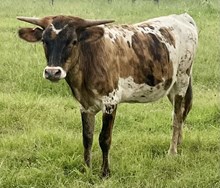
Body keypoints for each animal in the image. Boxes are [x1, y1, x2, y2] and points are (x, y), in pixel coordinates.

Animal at [17, 13, 199, 177]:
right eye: (44, 41)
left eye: (73, 41)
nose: (52, 72)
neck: (88, 61)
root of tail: (183, 16)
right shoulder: (85, 105)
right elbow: (87, 138)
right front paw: (86, 169)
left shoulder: (110, 101)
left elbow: (104, 139)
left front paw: (105, 173)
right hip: (171, 86)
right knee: (180, 114)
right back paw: (179, 143)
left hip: (182, 80)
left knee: (177, 117)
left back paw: (172, 151)